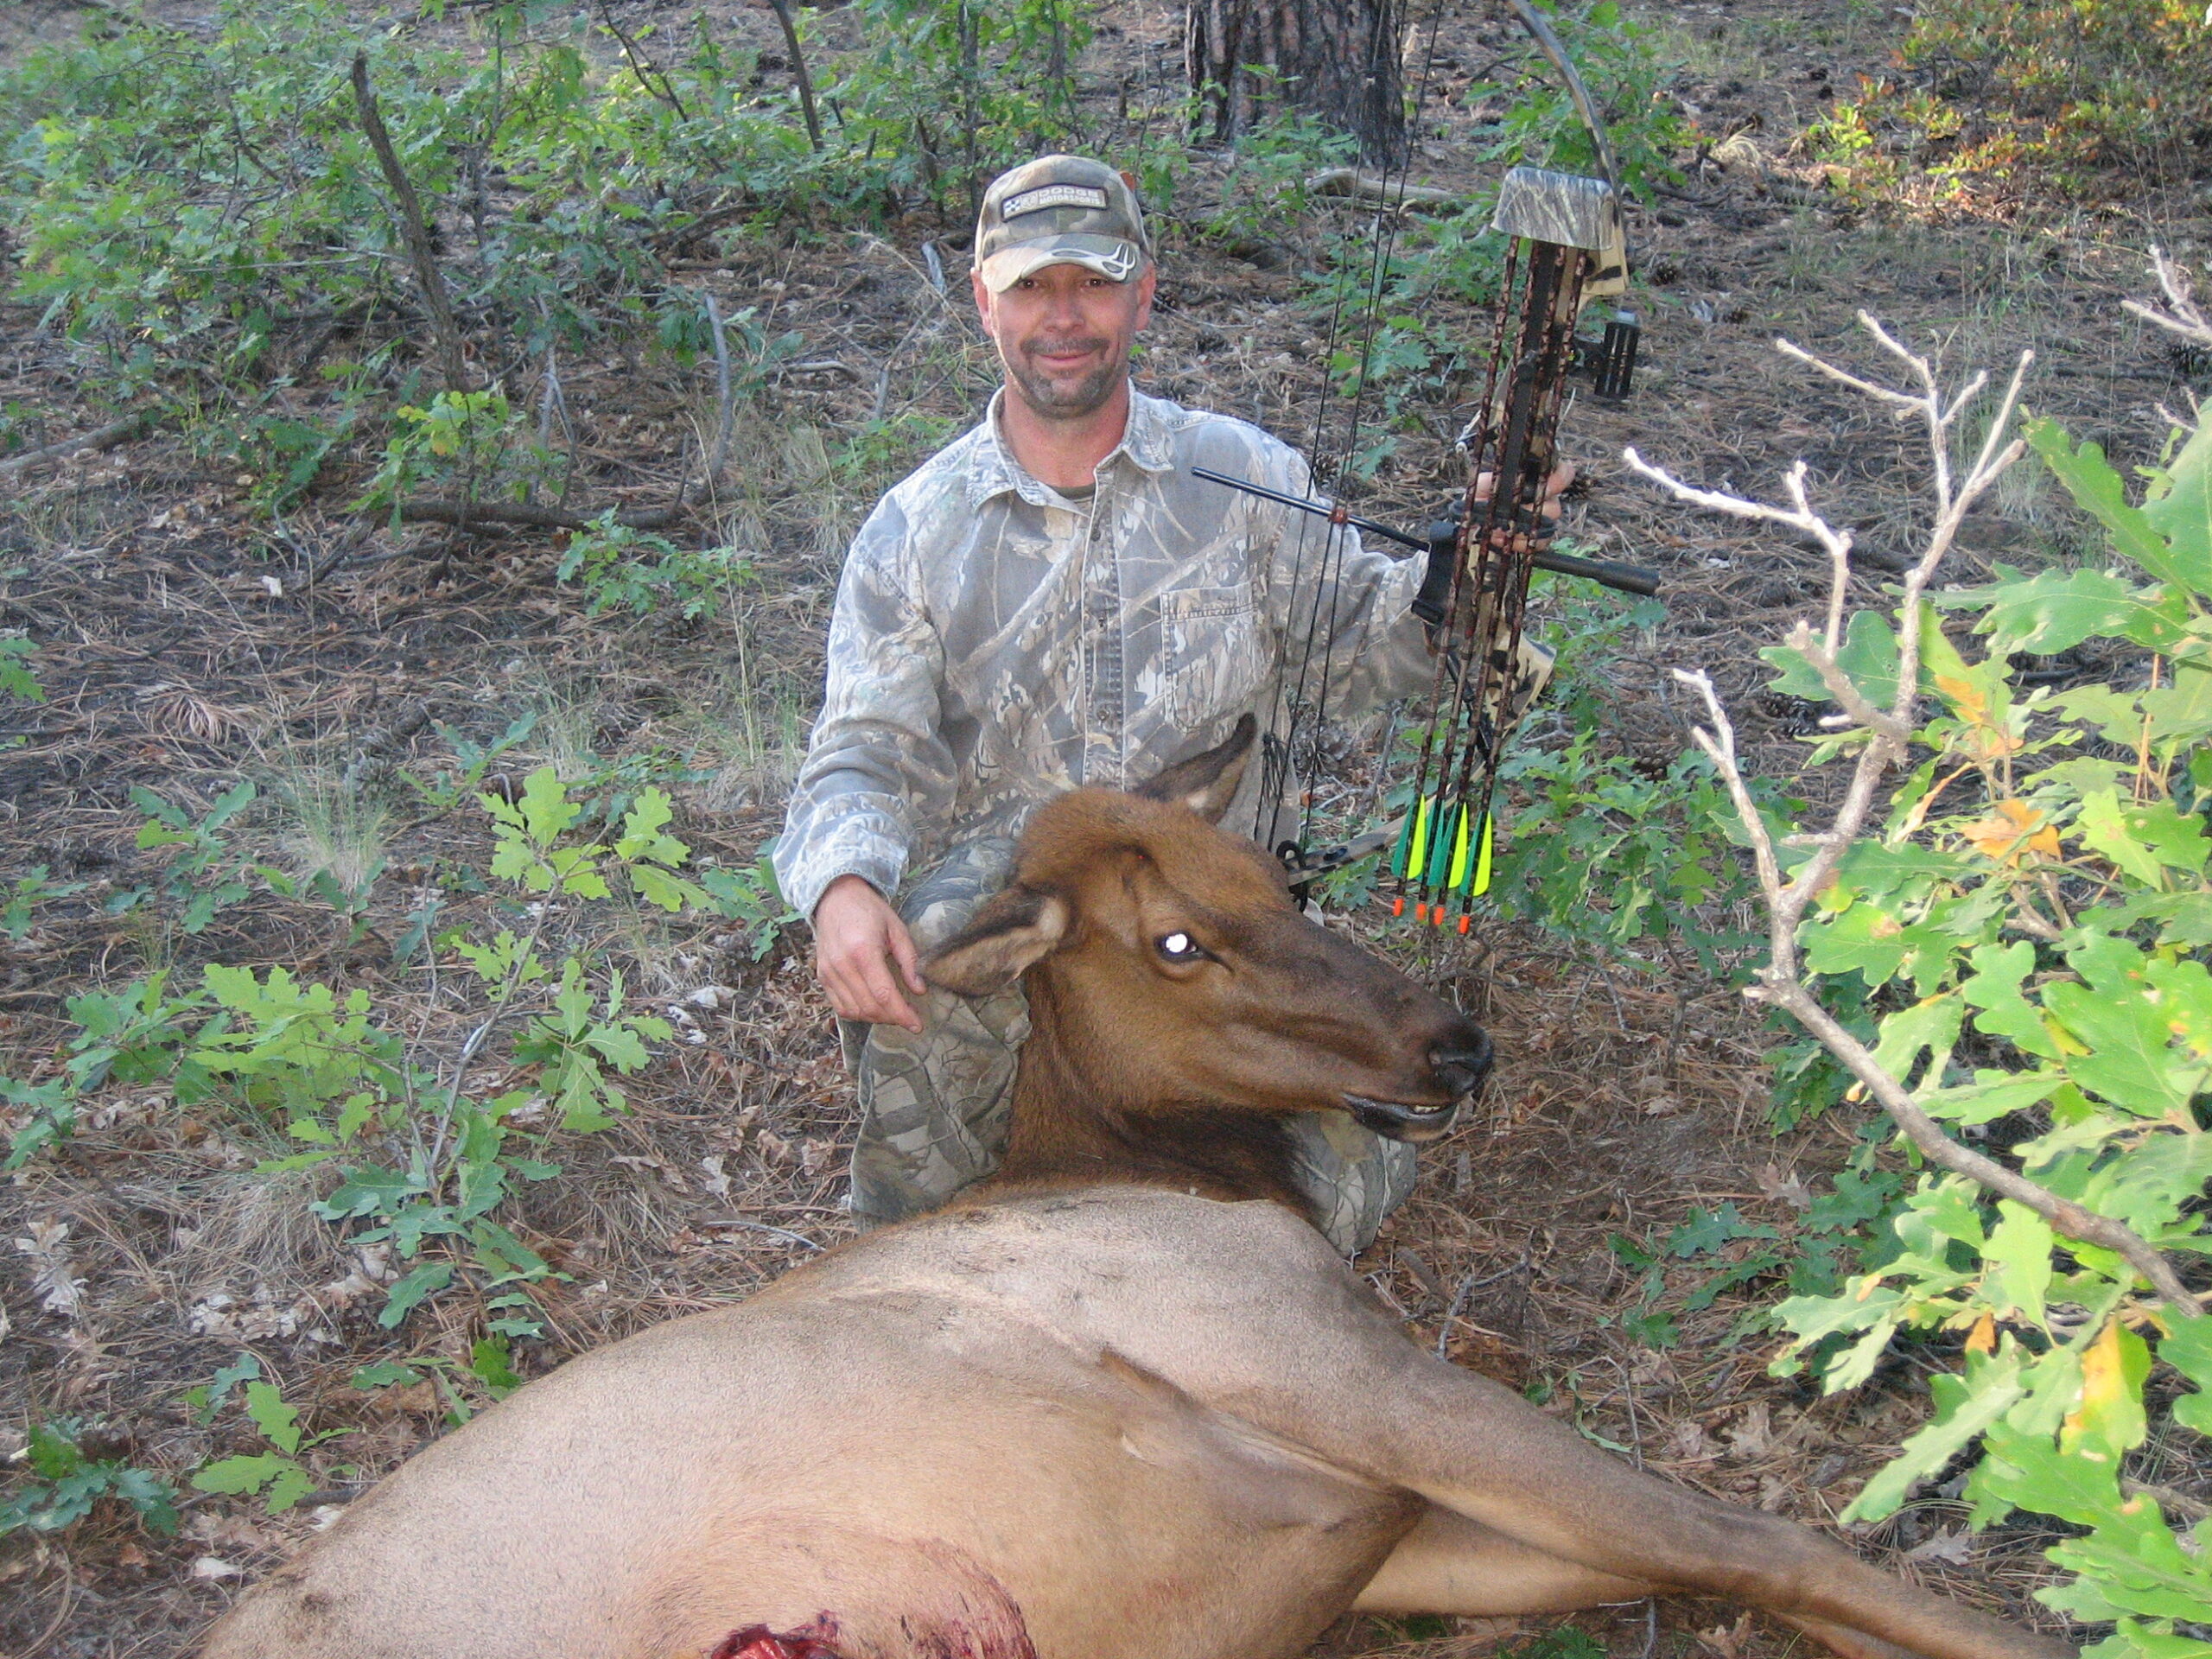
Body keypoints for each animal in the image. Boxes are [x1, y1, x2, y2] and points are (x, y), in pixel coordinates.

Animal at [194, 721, 2070, 1659]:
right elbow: (1757, 1537)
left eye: (1281, 876)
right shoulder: (1330, 1371)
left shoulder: (1359, 1528)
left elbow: (1710, 1575)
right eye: (1173, 941)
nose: (1454, 1043)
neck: (1206, 1178)